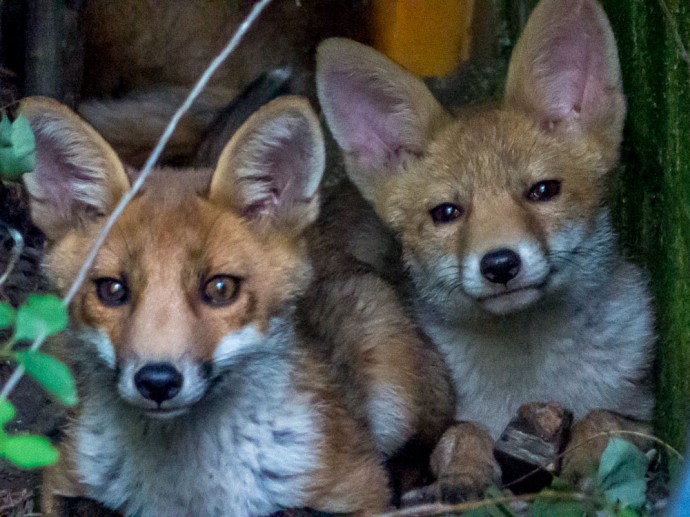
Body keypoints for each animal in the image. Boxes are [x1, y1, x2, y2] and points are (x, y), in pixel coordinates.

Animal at [20, 95, 453, 515]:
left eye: (220, 288)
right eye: (112, 290)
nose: (157, 380)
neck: (189, 494)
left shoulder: (360, 485)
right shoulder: (60, 478)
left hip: (392, 379)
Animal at [316, 0, 655, 499]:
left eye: (543, 190)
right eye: (446, 213)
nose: (499, 264)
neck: (529, 381)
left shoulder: (647, 410)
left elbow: (604, 418)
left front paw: (590, 464)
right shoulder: (440, 421)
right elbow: (462, 433)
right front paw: (466, 471)